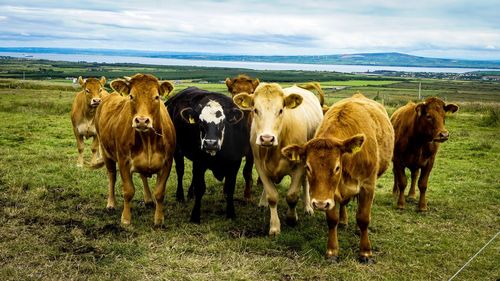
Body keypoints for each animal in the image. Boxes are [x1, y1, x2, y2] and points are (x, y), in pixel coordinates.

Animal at [94, 74, 176, 225]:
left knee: (143, 176)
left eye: (157, 97)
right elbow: (128, 191)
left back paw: (148, 199)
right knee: (112, 176)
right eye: (131, 96)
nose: (142, 121)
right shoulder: (124, 161)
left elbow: (160, 193)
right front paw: (126, 218)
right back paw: (111, 203)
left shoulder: (167, 162)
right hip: (105, 151)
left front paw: (159, 219)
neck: (148, 140)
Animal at [166, 86, 252, 222]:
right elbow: (200, 187)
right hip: (177, 149)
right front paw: (195, 215)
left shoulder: (234, 163)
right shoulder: (199, 162)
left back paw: (190, 193)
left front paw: (231, 213)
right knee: (180, 171)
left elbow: (230, 188)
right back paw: (180, 196)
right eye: (201, 122)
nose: (210, 143)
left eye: (223, 122)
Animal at [232, 82, 322, 235]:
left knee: (305, 182)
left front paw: (291, 218)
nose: (267, 138)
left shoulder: (299, 166)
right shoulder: (260, 165)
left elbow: (292, 195)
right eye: (255, 110)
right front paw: (274, 226)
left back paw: (308, 207)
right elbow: (272, 196)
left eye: (280, 110)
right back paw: (262, 203)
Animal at [282, 93, 394, 262]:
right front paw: (332, 250)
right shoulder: (331, 195)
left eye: (336, 168)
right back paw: (343, 221)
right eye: (307, 167)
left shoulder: (368, 186)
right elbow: (332, 220)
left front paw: (365, 251)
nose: (319, 204)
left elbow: (363, 218)